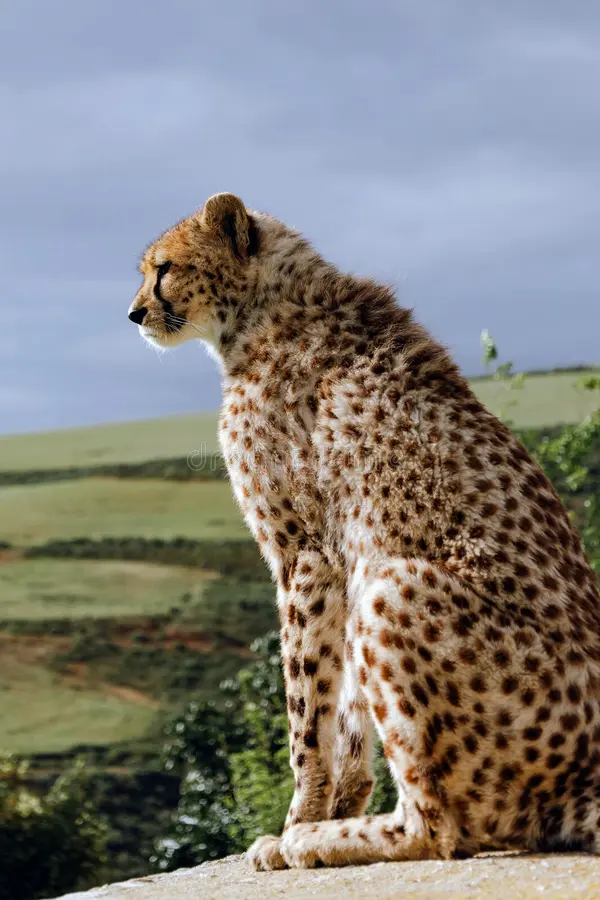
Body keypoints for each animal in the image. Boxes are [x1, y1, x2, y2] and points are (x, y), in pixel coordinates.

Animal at [129, 192, 600, 870]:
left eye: (163, 268)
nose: (134, 312)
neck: (262, 309)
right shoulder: (339, 564)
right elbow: (345, 712)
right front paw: (336, 805)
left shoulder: (304, 555)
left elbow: (306, 713)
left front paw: (298, 823)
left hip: (393, 586)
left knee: (441, 828)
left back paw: (326, 841)